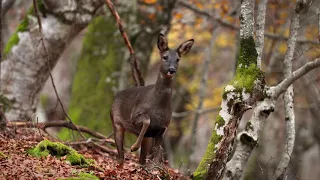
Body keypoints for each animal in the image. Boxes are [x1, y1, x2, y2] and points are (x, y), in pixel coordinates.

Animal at [111, 33, 194, 164]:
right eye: (165, 57)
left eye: (178, 59)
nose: (172, 70)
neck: (158, 106)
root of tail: (116, 96)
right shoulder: (135, 117)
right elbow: (147, 120)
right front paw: (133, 147)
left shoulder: (162, 130)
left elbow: (155, 158)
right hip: (116, 123)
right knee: (120, 157)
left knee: (140, 160)